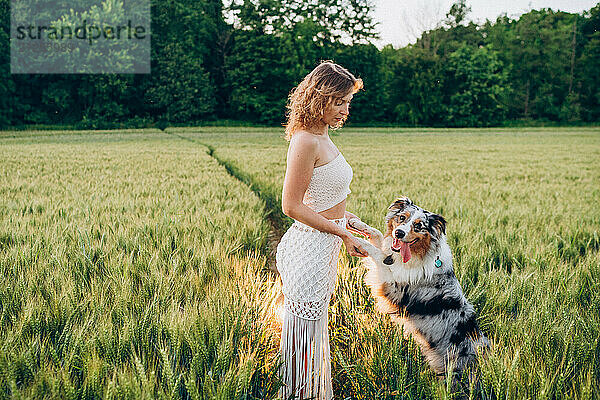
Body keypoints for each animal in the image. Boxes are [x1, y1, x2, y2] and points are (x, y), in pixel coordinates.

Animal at [346, 198, 488, 376]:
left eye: (419, 226)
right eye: (402, 218)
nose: (399, 233)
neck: (417, 254)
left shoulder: (391, 285)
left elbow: (378, 254)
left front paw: (356, 240)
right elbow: (377, 234)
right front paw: (355, 223)